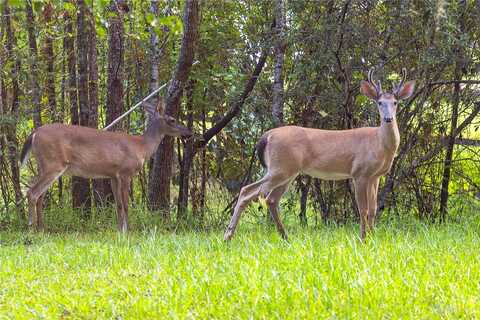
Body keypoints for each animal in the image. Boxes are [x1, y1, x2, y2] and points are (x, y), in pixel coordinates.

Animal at [19, 100, 191, 232]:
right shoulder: (125, 172)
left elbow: (118, 205)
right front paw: (128, 231)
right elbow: (126, 205)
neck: (141, 147)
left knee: (39, 194)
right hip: (53, 164)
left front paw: (120, 230)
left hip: (44, 165)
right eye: (172, 120)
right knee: (32, 193)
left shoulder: (113, 175)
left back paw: (42, 228)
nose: (189, 133)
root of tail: (34, 133)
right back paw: (31, 228)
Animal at [225, 69, 416, 241]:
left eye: (395, 102)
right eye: (379, 102)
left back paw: (285, 237)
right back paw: (228, 236)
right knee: (247, 191)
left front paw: (372, 237)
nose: (388, 119)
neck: (378, 144)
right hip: (280, 168)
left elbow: (374, 209)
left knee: (271, 199)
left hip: (287, 171)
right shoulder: (359, 173)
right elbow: (363, 209)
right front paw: (363, 239)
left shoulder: (375, 176)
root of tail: (267, 136)